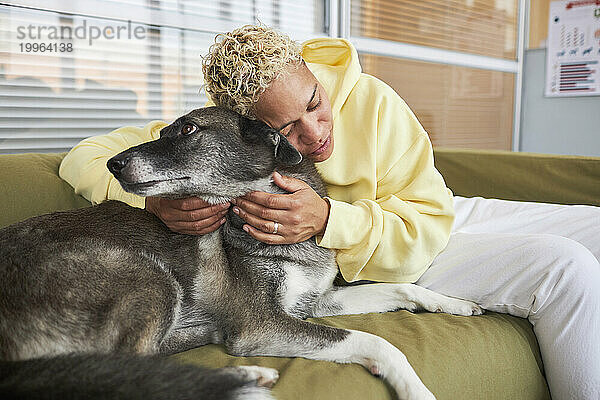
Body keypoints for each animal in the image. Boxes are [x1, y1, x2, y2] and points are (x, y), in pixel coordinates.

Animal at [0, 107, 482, 400]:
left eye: (188, 130)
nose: (113, 165)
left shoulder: (316, 302)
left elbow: (402, 288)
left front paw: (456, 304)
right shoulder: (261, 325)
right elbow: (377, 341)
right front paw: (416, 389)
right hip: (144, 275)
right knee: (126, 372)